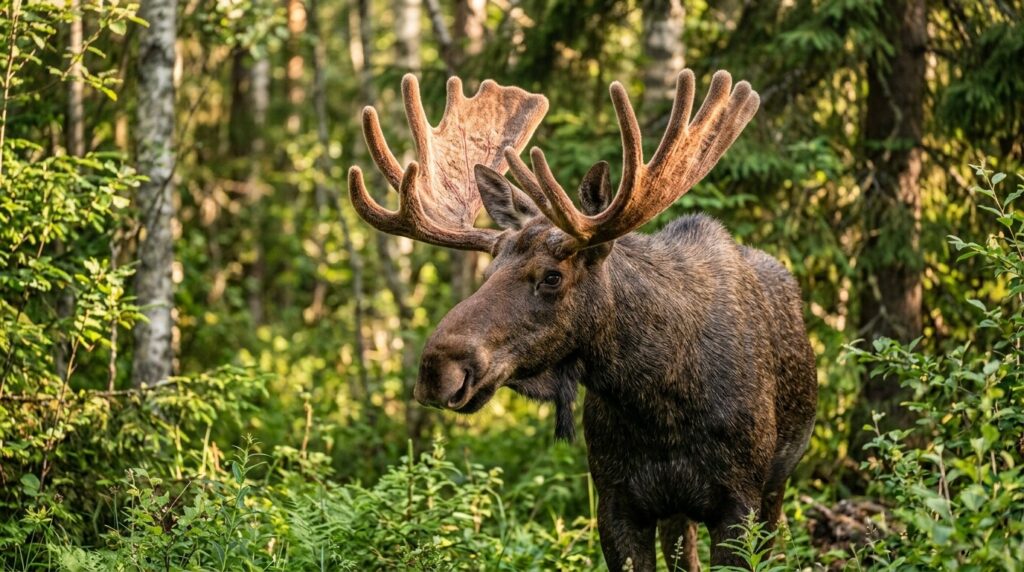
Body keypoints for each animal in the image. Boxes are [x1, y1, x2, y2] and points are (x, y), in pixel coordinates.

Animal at [348, 71, 818, 571]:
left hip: (776, 485)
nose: (436, 369)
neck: (660, 403)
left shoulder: (739, 499)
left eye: (552, 276)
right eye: (489, 271)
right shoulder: (615, 500)